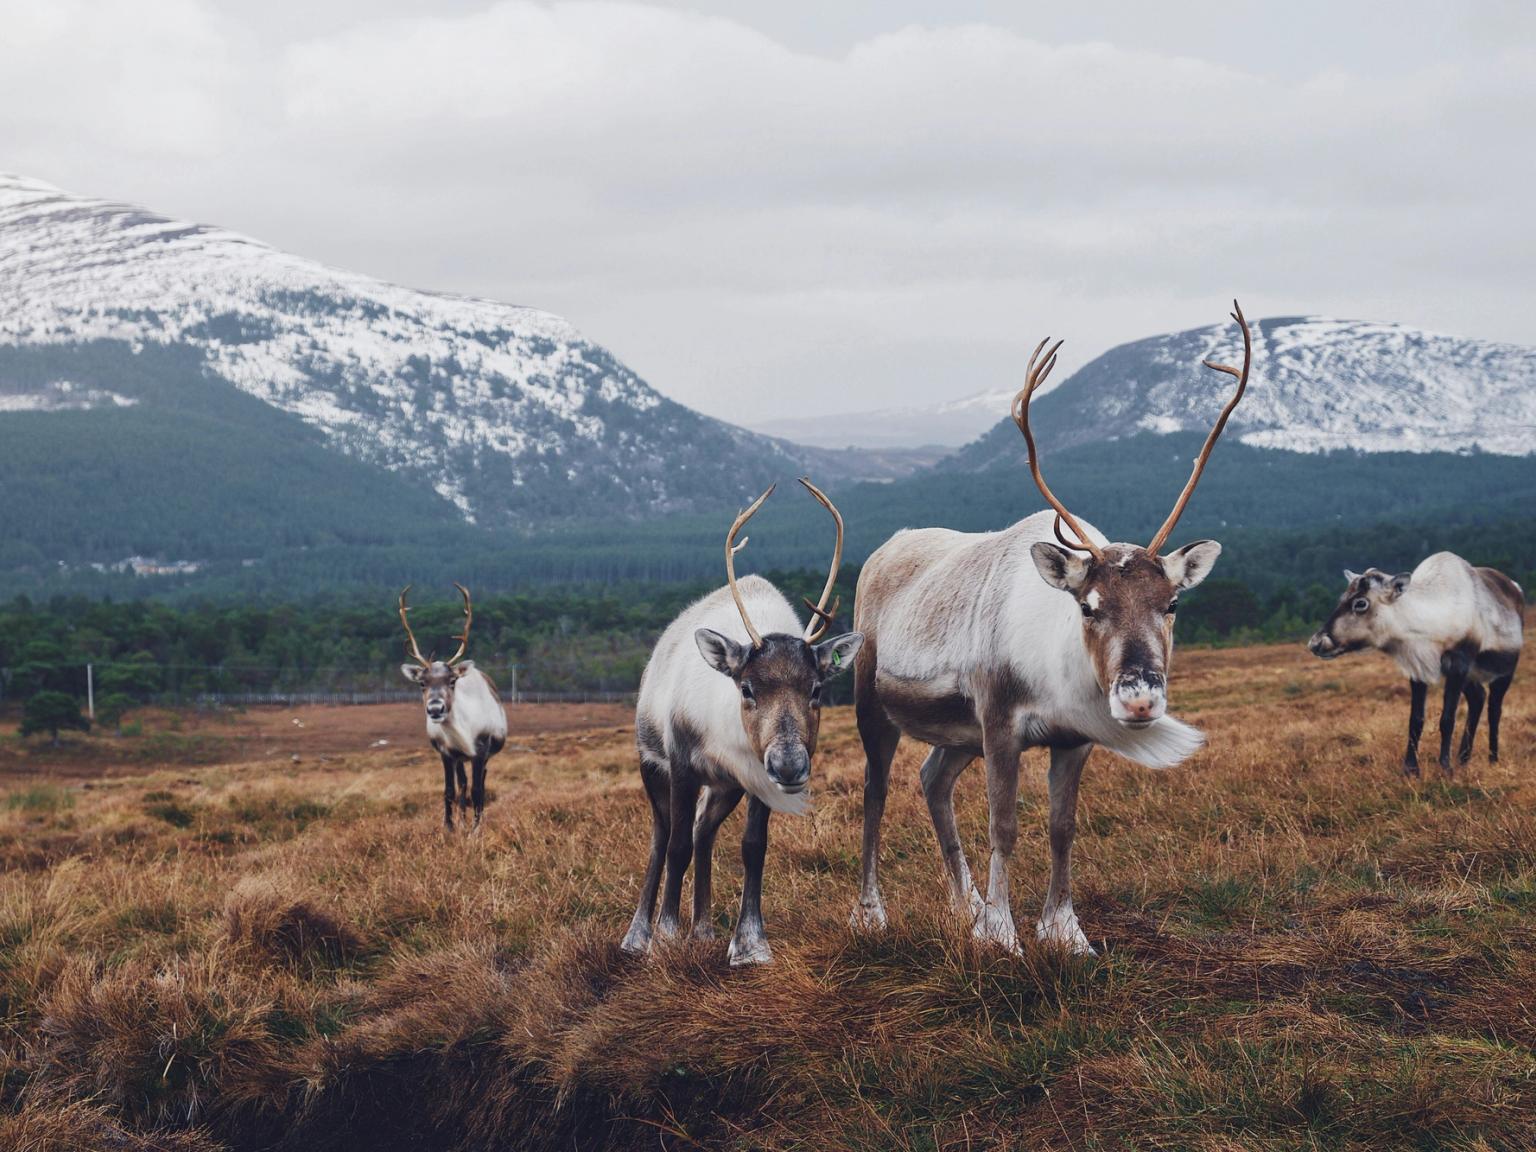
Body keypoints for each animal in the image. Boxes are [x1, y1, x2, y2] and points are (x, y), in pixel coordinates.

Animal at [398, 584, 508, 831]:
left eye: (452, 681)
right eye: (422, 682)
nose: (435, 709)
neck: (464, 733)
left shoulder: (480, 750)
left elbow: (478, 790)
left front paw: (476, 828)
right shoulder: (447, 752)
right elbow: (449, 790)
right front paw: (450, 827)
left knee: (480, 782)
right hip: (459, 759)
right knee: (462, 784)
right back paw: (462, 820)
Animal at [621, 479, 863, 966]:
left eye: (816, 689)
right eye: (747, 687)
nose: (789, 764)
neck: (723, 736)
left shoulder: (753, 779)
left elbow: (753, 847)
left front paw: (750, 943)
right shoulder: (681, 765)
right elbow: (675, 847)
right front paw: (666, 936)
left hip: (724, 787)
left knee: (703, 832)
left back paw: (703, 930)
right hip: (650, 763)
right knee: (663, 836)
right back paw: (639, 935)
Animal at [849, 302, 1253, 956]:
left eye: (1172, 604)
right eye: (1087, 606)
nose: (1139, 698)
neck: (1052, 674)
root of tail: (884, 550)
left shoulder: (1072, 738)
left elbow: (1062, 827)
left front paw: (1065, 931)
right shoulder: (999, 723)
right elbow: (1005, 826)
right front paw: (1003, 935)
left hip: (957, 733)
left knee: (932, 779)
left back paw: (966, 907)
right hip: (873, 701)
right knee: (875, 792)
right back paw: (873, 914)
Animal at [1308, 556, 1523, 776]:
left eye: (1360, 603)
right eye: (1342, 598)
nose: (1316, 643)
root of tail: (1515, 587)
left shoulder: (1458, 662)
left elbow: (1447, 719)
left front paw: (1445, 767)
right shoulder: (1418, 667)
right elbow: (1415, 719)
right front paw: (1410, 769)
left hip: (1505, 669)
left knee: (1495, 709)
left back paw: (1492, 758)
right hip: (1471, 676)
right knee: (1478, 697)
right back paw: (1463, 758)